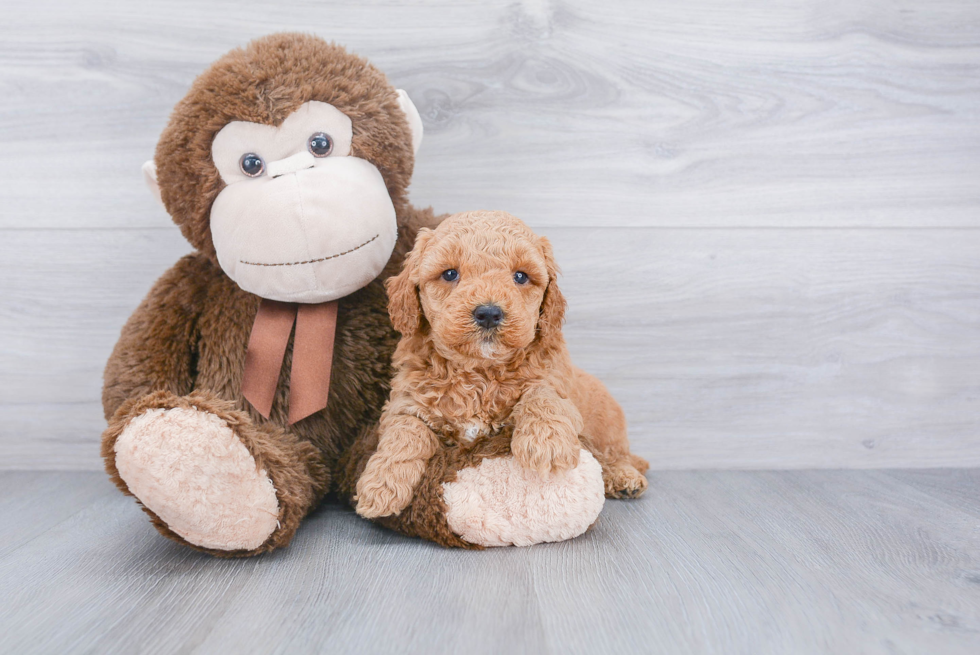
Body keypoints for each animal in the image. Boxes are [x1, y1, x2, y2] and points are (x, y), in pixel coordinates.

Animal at [348, 211, 648, 548]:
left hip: (607, 429)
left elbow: (541, 396)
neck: (478, 370)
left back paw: (623, 477)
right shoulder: (407, 401)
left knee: (613, 455)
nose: (489, 313)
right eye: (449, 274)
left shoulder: (553, 379)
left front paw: (546, 444)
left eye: (520, 277)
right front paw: (380, 485)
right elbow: (405, 432)